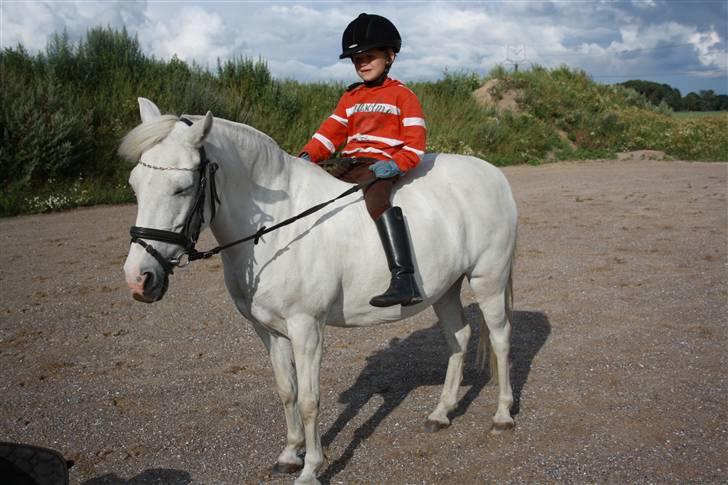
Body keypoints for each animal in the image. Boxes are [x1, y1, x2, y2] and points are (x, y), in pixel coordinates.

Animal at [121, 98, 516, 484]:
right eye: (135, 184)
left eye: (182, 188)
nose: (138, 279)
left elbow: (309, 399)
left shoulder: (306, 326)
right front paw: (288, 455)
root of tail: (492, 173)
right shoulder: (267, 329)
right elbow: (287, 391)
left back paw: (502, 416)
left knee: (500, 339)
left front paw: (311, 469)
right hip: (445, 288)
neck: (277, 227)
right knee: (458, 337)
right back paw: (441, 413)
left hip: (488, 280)